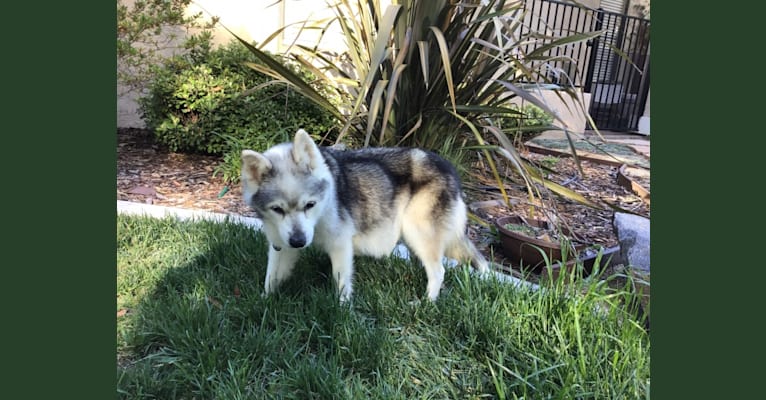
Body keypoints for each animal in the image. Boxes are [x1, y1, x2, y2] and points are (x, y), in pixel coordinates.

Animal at [243, 130, 488, 302]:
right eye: (277, 209)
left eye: (310, 205)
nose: (298, 241)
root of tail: (449, 168)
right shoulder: (280, 245)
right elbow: (272, 276)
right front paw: (265, 300)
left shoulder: (340, 245)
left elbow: (342, 282)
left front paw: (342, 310)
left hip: (418, 230)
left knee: (438, 271)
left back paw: (426, 302)